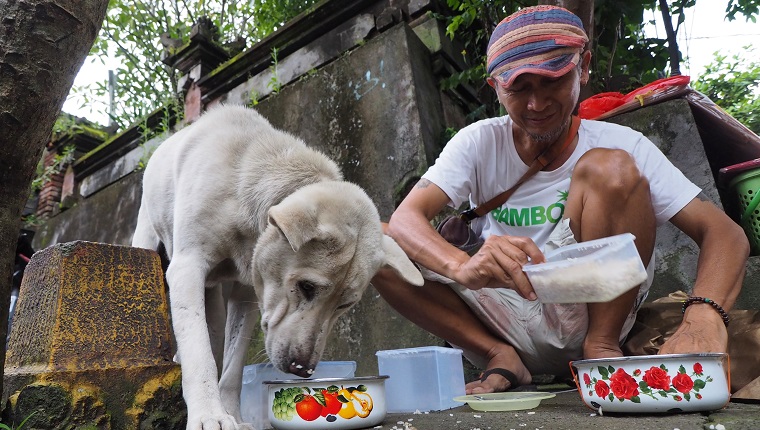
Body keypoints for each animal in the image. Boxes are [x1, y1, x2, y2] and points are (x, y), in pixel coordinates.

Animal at [134, 105, 424, 430]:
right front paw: (210, 416)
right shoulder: (188, 269)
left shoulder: (247, 293)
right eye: (306, 287)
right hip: (147, 241)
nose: (303, 370)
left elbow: (233, 367)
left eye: (345, 304)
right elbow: (200, 355)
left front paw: (233, 416)